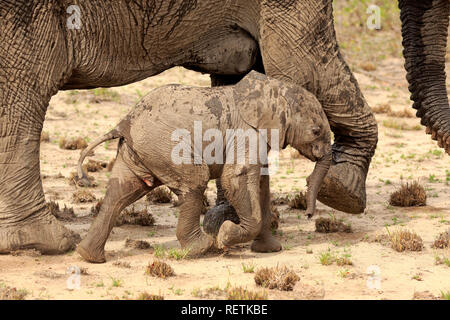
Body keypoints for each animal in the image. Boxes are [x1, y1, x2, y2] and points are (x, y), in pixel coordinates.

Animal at [75, 70, 332, 262]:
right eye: (316, 131)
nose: (309, 214)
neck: (276, 90)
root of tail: (125, 121)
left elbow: (261, 183)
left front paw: (269, 250)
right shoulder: (246, 131)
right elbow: (237, 178)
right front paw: (225, 236)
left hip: (138, 150)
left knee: (120, 193)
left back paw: (89, 256)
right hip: (164, 145)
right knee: (194, 181)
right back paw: (204, 247)